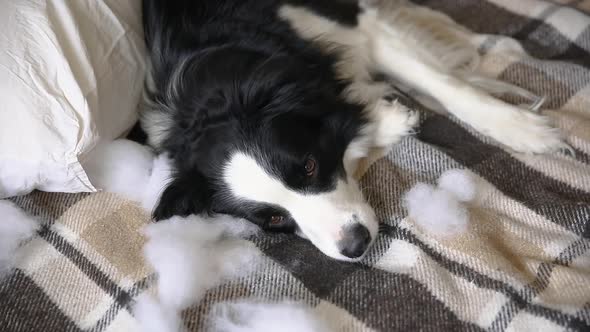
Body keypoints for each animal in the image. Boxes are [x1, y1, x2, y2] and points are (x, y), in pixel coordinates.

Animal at [140, 0, 568, 260]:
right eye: (274, 220)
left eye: (309, 166)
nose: (356, 246)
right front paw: (389, 119)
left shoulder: (342, 23)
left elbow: (441, 82)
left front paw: (522, 129)